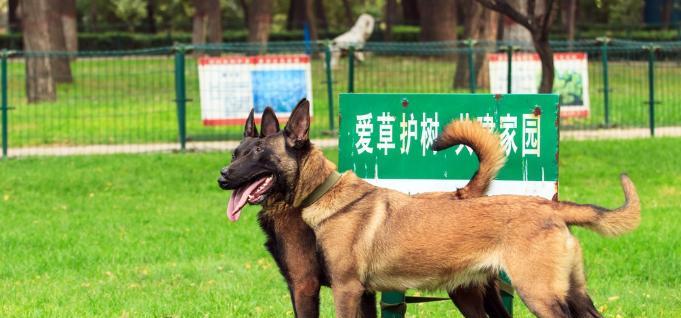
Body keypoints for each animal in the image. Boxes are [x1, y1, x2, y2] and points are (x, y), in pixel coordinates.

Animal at [223, 105, 510, 316]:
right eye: (235, 154)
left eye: (258, 151)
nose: (222, 176)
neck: (315, 193)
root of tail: (466, 192)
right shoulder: (363, 293)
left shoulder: (312, 287)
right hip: (470, 291)